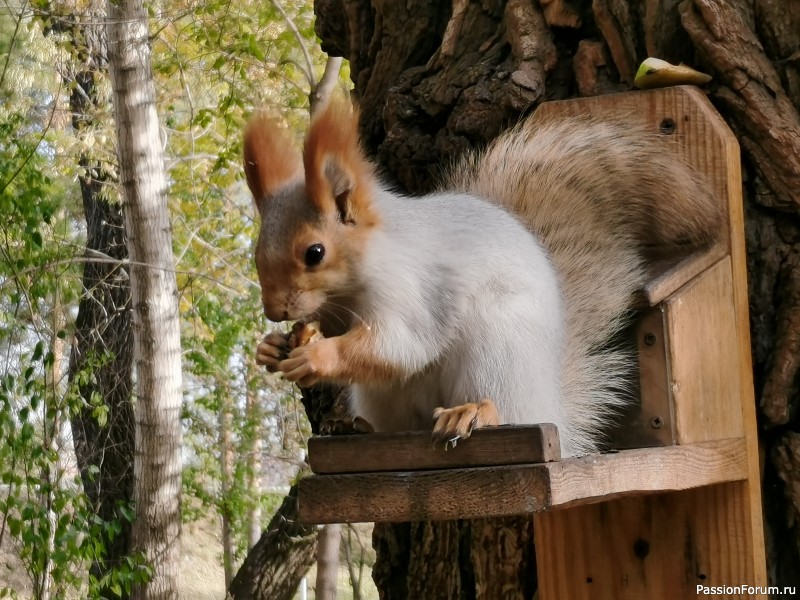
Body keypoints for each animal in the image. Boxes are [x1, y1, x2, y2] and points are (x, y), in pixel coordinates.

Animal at [242, 98, 720, 458]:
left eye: (315, 252)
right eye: (257, 252)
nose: (274, 311)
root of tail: (550, 407)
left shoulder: (415, 291)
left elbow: (399, 344)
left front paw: (315, 356)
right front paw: (273, 347)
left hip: (497, 351)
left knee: (501, 406)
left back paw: (473, 413)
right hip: (385, 396)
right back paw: (360, 427)